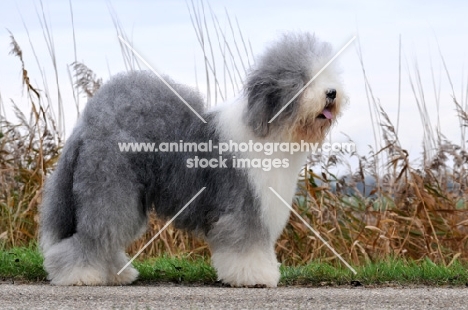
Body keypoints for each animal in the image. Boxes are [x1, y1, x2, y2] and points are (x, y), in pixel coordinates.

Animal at [40, 32, 346, 286]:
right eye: (303, 80)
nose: (331, 92)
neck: (269, 129)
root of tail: (89, 122)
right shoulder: (245, 204)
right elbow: (246, 243)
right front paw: (255, 276)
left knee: (105, 237)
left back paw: (118, 273)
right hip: (111, 188)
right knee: (93, 235)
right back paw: (79, 274)